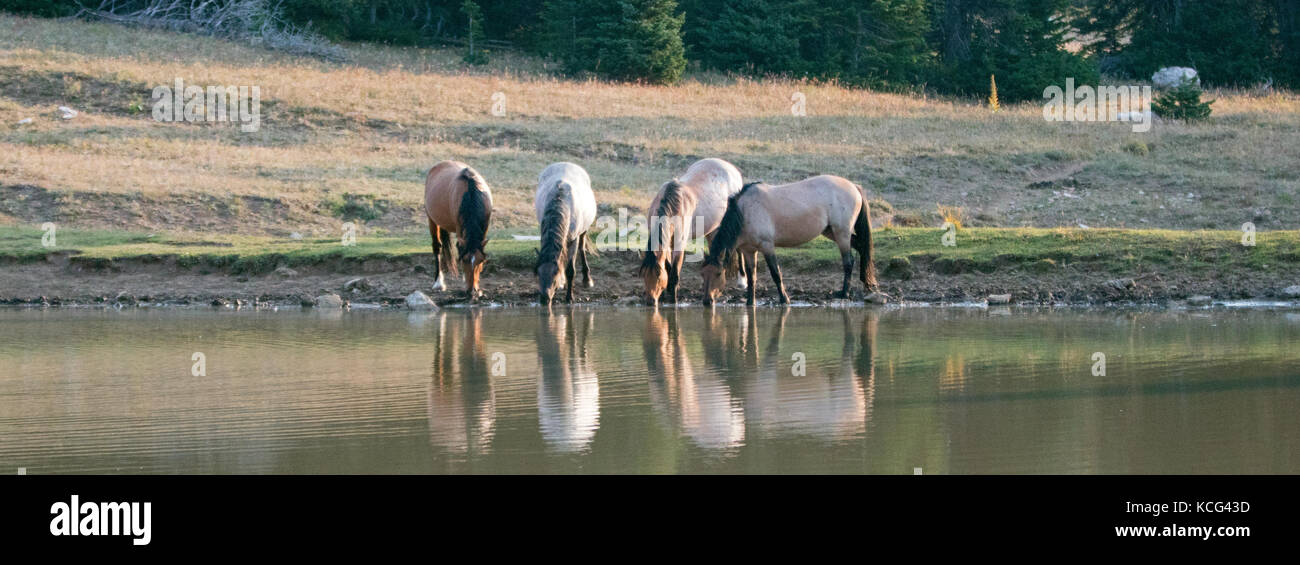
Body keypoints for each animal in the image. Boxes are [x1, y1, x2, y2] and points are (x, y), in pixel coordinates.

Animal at [426, 160, 491, 301]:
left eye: (481, 261)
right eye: (464, 260)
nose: (472, 291)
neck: (471, 193)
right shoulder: (460, 228)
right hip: (431, 219)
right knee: (437, 247)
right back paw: (438, 282)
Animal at [533, 162, 598, 305]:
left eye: (554, 273)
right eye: (538, 273)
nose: (544, 299)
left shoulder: (573, 239)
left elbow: (570, 270)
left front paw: (569, 297)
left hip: (583, 232)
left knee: (582, 248)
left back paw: (587, 279)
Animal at [637, 155, 748, 305]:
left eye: (658, 274)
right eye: (643, 274)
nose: (650, 301)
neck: (674, 206)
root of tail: (731, 168)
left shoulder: (679, 245)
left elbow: (674, 274)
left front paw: (673, 300)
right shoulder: (667, 244)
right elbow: (668, 267)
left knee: (739, 250)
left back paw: (742, 281)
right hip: (712, 229)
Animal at [707, 176, 878, 307]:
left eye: (718, 273)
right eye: (703, 274)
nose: (706, 301)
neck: (745, 211)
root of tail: (854, 186)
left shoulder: (767, 246)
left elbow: (776, 273)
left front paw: (784, 299)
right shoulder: (749, 251)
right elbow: (751, 277)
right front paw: (750, 302)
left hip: (841, 233)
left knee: (848, 262)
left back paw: (844, 293)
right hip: (831, 231)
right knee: (861, 247)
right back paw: (866, 284)